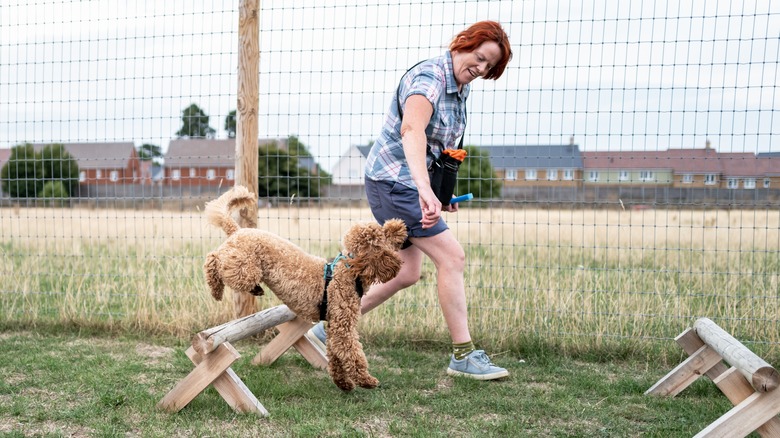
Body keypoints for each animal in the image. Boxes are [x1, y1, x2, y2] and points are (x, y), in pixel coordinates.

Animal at [201, 186, 408, 392]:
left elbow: (336, 356)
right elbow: (353, 354)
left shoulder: (333, 326)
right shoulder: (343, 327)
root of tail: (237, 230)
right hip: (243, 268)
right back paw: (216, 290)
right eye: (383, 237)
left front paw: (344, 383)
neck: (349, 271)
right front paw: (366, 380)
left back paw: (254, 289)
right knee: (213, 259)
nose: (399, 227)